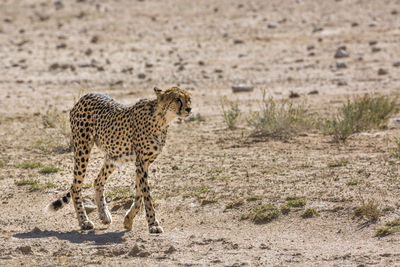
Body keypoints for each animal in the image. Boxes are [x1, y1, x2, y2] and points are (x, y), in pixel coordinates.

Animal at [45, 87, 192, 233]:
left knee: (97, 181)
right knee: (75, 187)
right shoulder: (141, 162)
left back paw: (104, 215)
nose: (189, 109)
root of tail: (85, 95)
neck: (162, 118)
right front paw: (152, 224)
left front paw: (128, 220)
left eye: (189, 99)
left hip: (114, 156)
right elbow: (146, 196)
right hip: (82, 148)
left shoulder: (144, 163)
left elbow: (139, 195)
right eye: (177, 99)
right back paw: (84, 221)